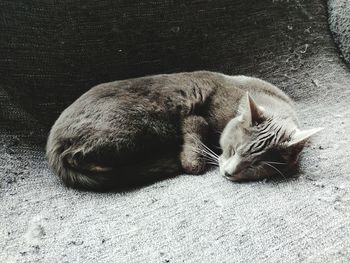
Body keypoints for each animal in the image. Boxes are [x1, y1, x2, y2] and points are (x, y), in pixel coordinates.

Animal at [46, 71, 322, 192]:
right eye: (233, 149)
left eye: (257, 165)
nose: (229, 172)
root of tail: (53, 146)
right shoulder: (196, 116)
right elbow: (195, 135)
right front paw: (193, 161)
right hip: (133, 130)